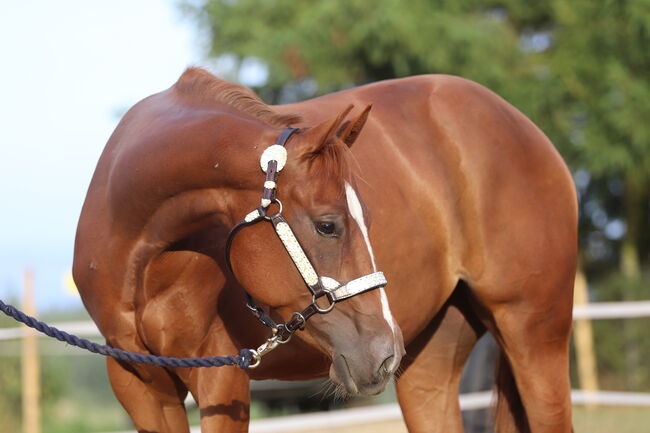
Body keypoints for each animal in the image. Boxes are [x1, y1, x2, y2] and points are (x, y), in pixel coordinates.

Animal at [73, 68, 576, 432]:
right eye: (328, 225)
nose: (383, 352)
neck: (143, 258)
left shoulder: (220, 377)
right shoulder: (138, 384)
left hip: (534, 335)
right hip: (432, 356)